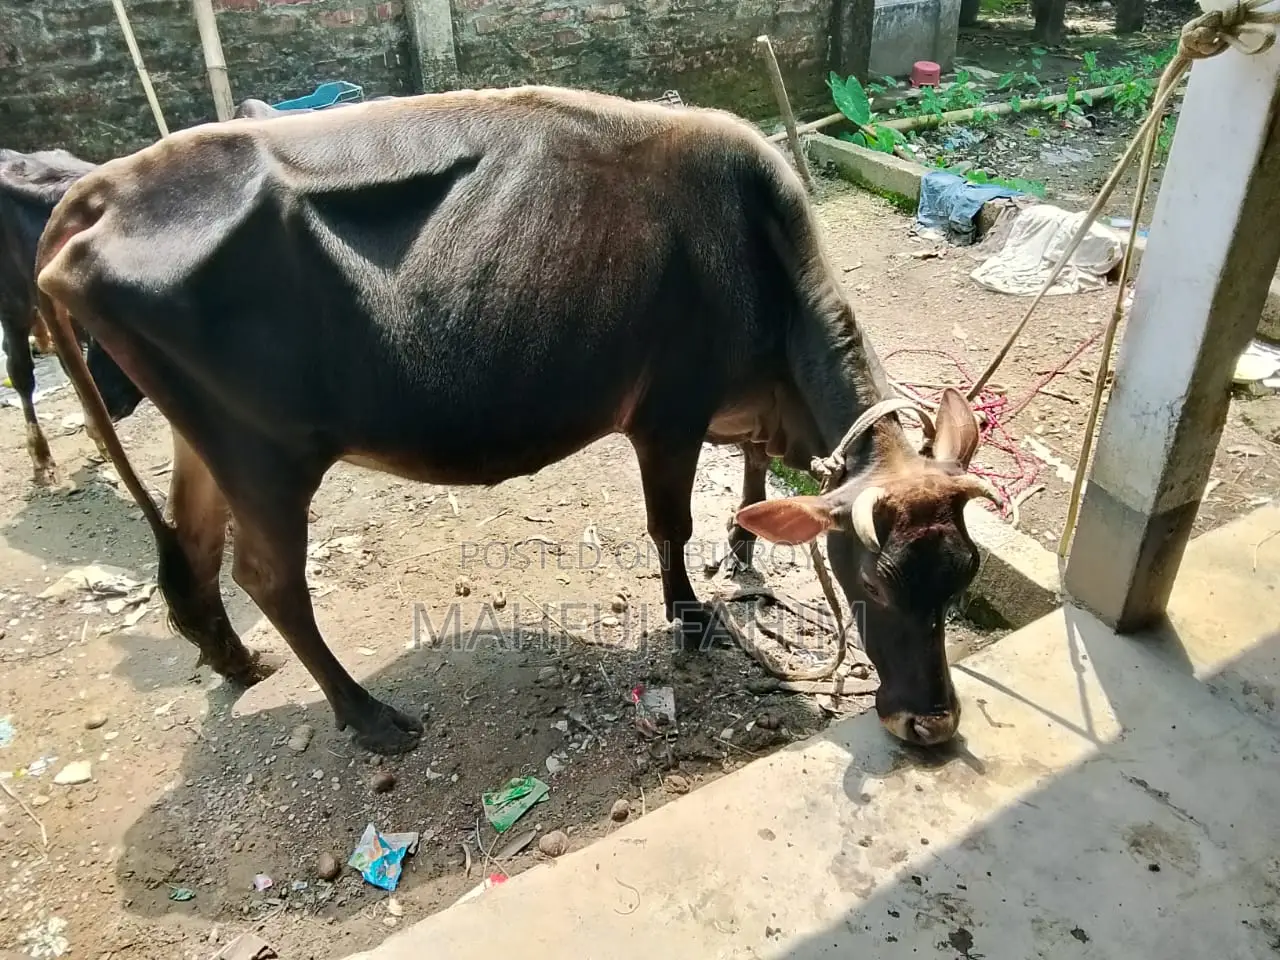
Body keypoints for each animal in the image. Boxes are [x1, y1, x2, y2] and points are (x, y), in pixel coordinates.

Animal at [34, 85, 1000, 756]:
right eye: (875, 583)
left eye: (960, 581)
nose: (930, 724)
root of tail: (106, 187)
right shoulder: (669, 414)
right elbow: (670, 525)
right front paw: (692, 619)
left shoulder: (745, 410)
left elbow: (756, 480)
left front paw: (745, 546)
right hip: (265, 453)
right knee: (269, 579)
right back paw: (366, 714)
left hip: (206, 440)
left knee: (191, 556)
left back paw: (239, 664)